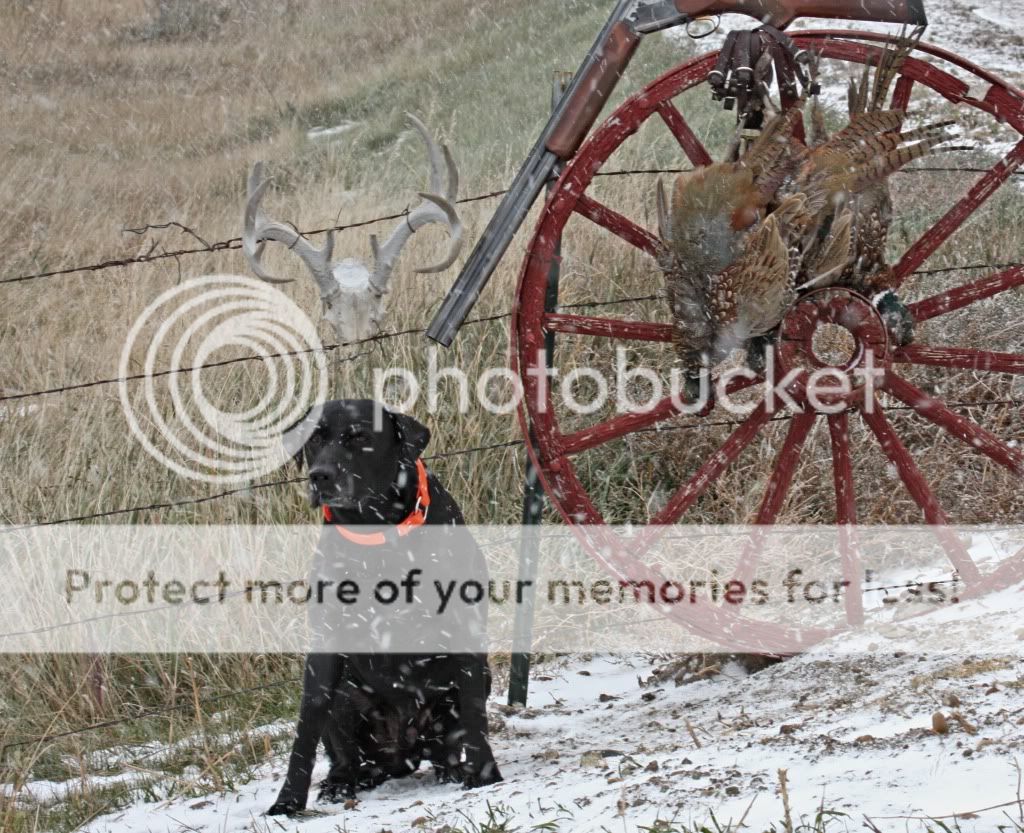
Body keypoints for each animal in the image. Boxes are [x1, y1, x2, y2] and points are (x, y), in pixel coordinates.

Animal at [268, 399, 499, 815]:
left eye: (358, 436)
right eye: (314, 439)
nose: (319, 476)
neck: (375, 532)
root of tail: (401, 753)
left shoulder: (463, 625)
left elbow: (474, 711)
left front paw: (484, 774)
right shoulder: (325, 644)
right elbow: (307, 723)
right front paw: (288, 800)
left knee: (444, 746)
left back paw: (452, 769)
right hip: (346, 696)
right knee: (347, 757)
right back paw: (340, 783)